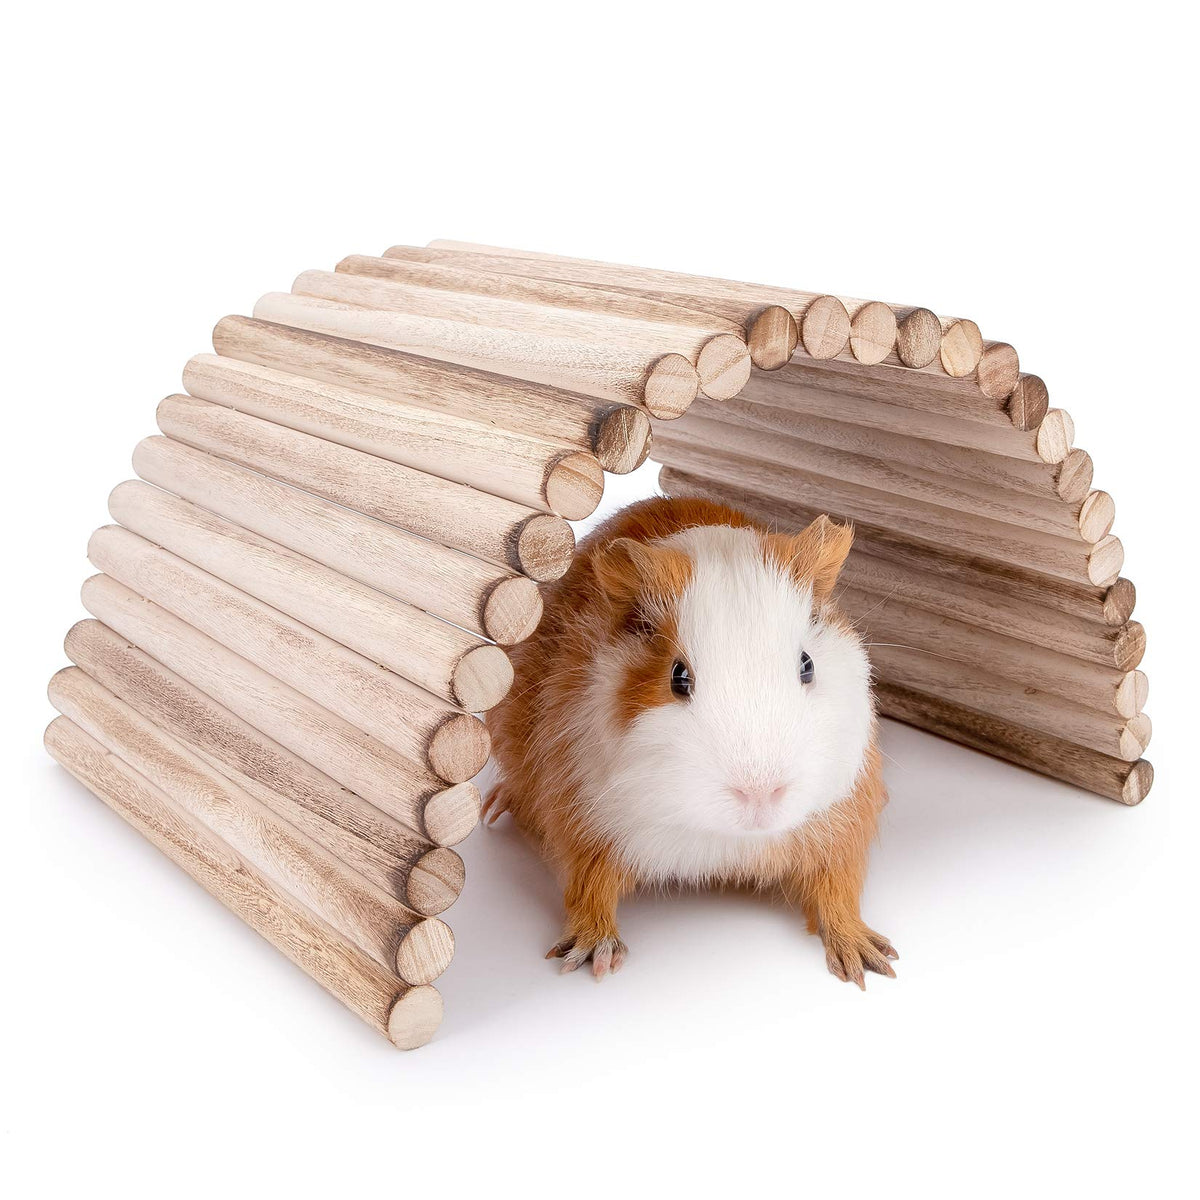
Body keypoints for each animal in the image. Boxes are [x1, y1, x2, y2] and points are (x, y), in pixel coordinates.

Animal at [484, 495, 896, 987]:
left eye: (807, 665)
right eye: (678, 677)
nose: (760, 795)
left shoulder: (845, 818)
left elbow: (838, 887)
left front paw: (868, 960)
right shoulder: (582, 816)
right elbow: (588, 886)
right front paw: (594, 957)